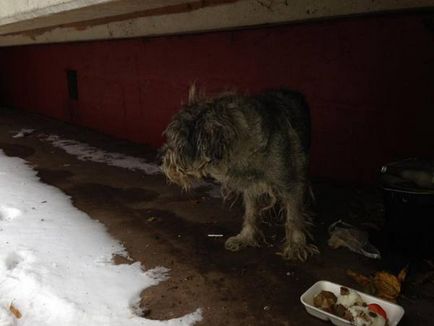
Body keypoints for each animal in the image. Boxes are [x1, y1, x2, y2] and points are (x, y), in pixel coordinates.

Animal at [161, 86, 318, 262]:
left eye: (178, 143)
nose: (161, 159)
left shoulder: (291, 184)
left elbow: (294, 216)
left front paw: (296, 245)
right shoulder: (250, 187)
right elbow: (250, 213)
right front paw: (246, 237)